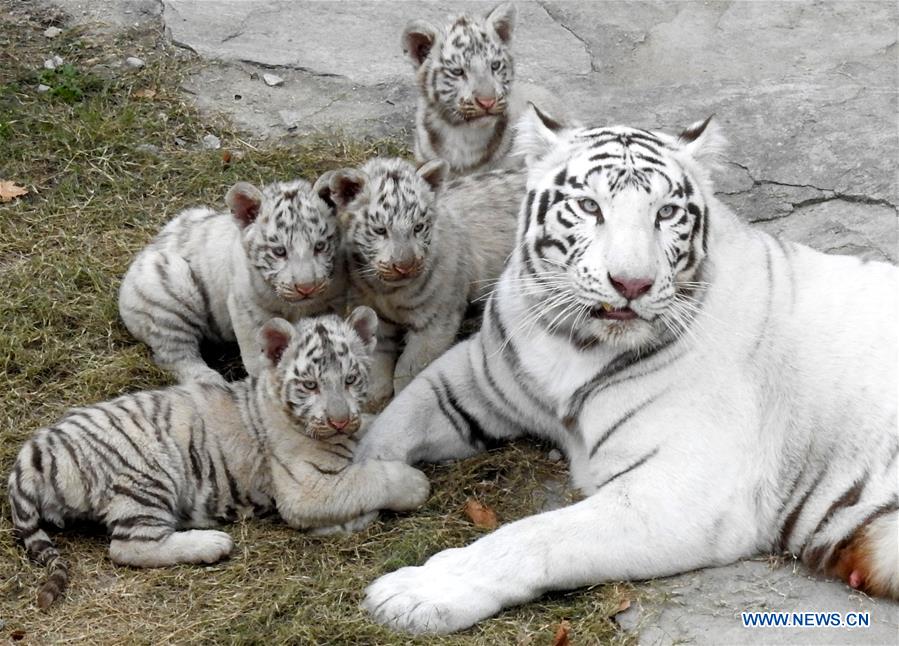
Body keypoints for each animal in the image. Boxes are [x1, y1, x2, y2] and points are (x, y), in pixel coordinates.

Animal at [8, 308, 430, 610]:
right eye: (309, 385)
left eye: (350, 379)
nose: (340, 419)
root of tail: (33, 454)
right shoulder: (305, 488)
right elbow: (367, 479)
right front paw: (413, 486)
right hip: (148, 475)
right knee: (128, 548)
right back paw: (211, 543)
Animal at [118, 177, 345, 383]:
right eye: (279, 251)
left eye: (320, 246)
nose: (306, 288)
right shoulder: (247, 308)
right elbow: (258, 360)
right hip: (170, 290)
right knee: (174, 354)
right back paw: (208, 380)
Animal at [318, 157, 523, 406]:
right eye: (380, 230)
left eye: (418, 227)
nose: (405, 266)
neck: (386, 290)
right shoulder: (376, 315)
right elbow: (377, 356)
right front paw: (374, 395)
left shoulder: (434, 323)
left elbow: (409, 368)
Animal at [354, 107, 899, 633]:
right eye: (590, 206)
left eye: (666, 212)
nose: (632, 283)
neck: (574, 343)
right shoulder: (475, 377)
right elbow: (396, 420)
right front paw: (359, 481)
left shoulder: (681, 490)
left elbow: (535, 534)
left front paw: (417, 592)